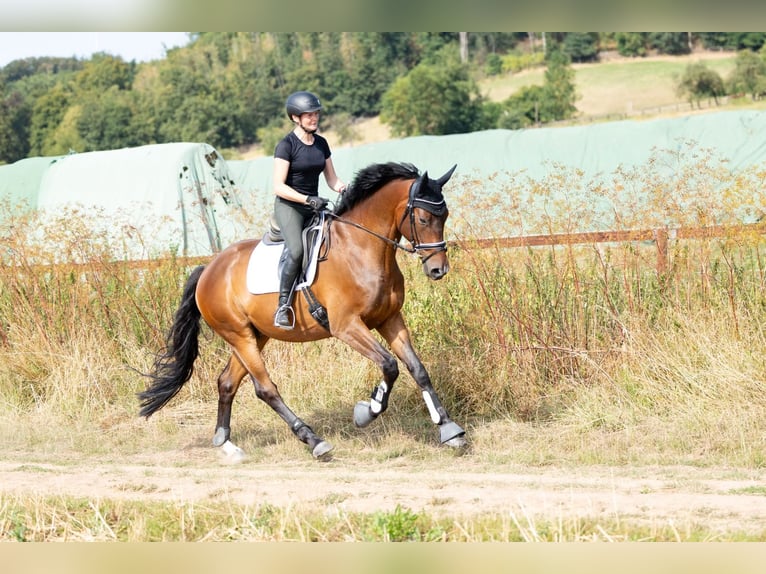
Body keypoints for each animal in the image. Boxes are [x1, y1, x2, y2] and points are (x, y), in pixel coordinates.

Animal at [137, 161, 466, 460]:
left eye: (445, 215)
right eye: (423, 218)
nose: (438, 270)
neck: (363, 248)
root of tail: (208, 269)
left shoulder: (389, 319)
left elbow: (417, 369)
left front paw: (450, 430)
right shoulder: (347, 326)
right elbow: (389, 365)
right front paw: (366, 411)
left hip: (255, 337)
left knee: (227, 382)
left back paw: (227, 444)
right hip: (238, 335)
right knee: (265, 388)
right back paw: (314, 441)